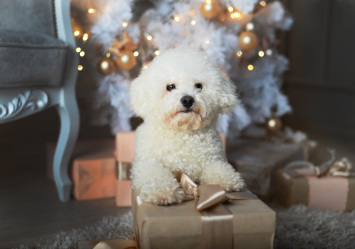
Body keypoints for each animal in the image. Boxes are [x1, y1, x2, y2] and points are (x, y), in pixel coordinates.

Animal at [130, 47, 245, 205]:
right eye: (170, 87)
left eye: (198, 86)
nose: (187, 99)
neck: (183, 133)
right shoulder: (145, 163)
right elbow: (155, 173)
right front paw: (162, 190)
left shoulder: (213, 159)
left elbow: (218, 168)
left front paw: (227, 179)